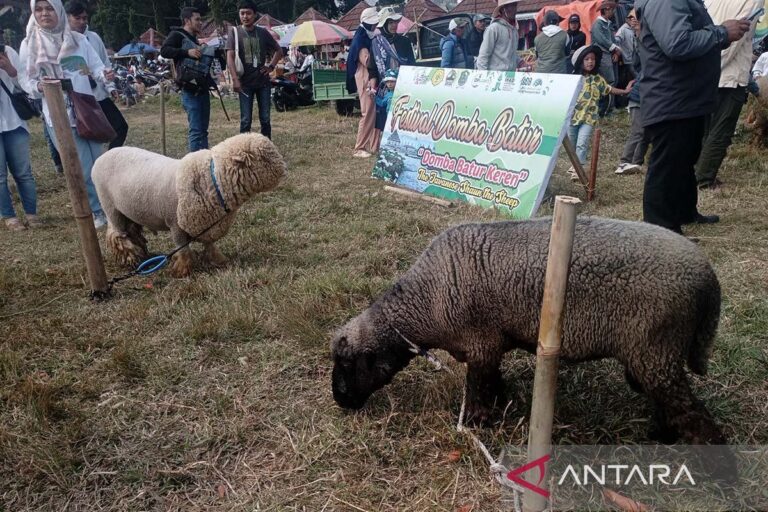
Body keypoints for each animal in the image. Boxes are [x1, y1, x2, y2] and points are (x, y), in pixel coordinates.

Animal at [330, 218, 728, 446]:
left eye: (347, 364)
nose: (340, 400)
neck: (426, 300)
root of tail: (708, 278)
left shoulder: (480, 342)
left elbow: (477, 389)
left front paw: (476, 426)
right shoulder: (488, 347)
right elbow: (491, 382)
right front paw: (500, 408)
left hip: (656, 347)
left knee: (693, 413)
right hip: (654, 355)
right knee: (670, 402)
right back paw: (662, 437)